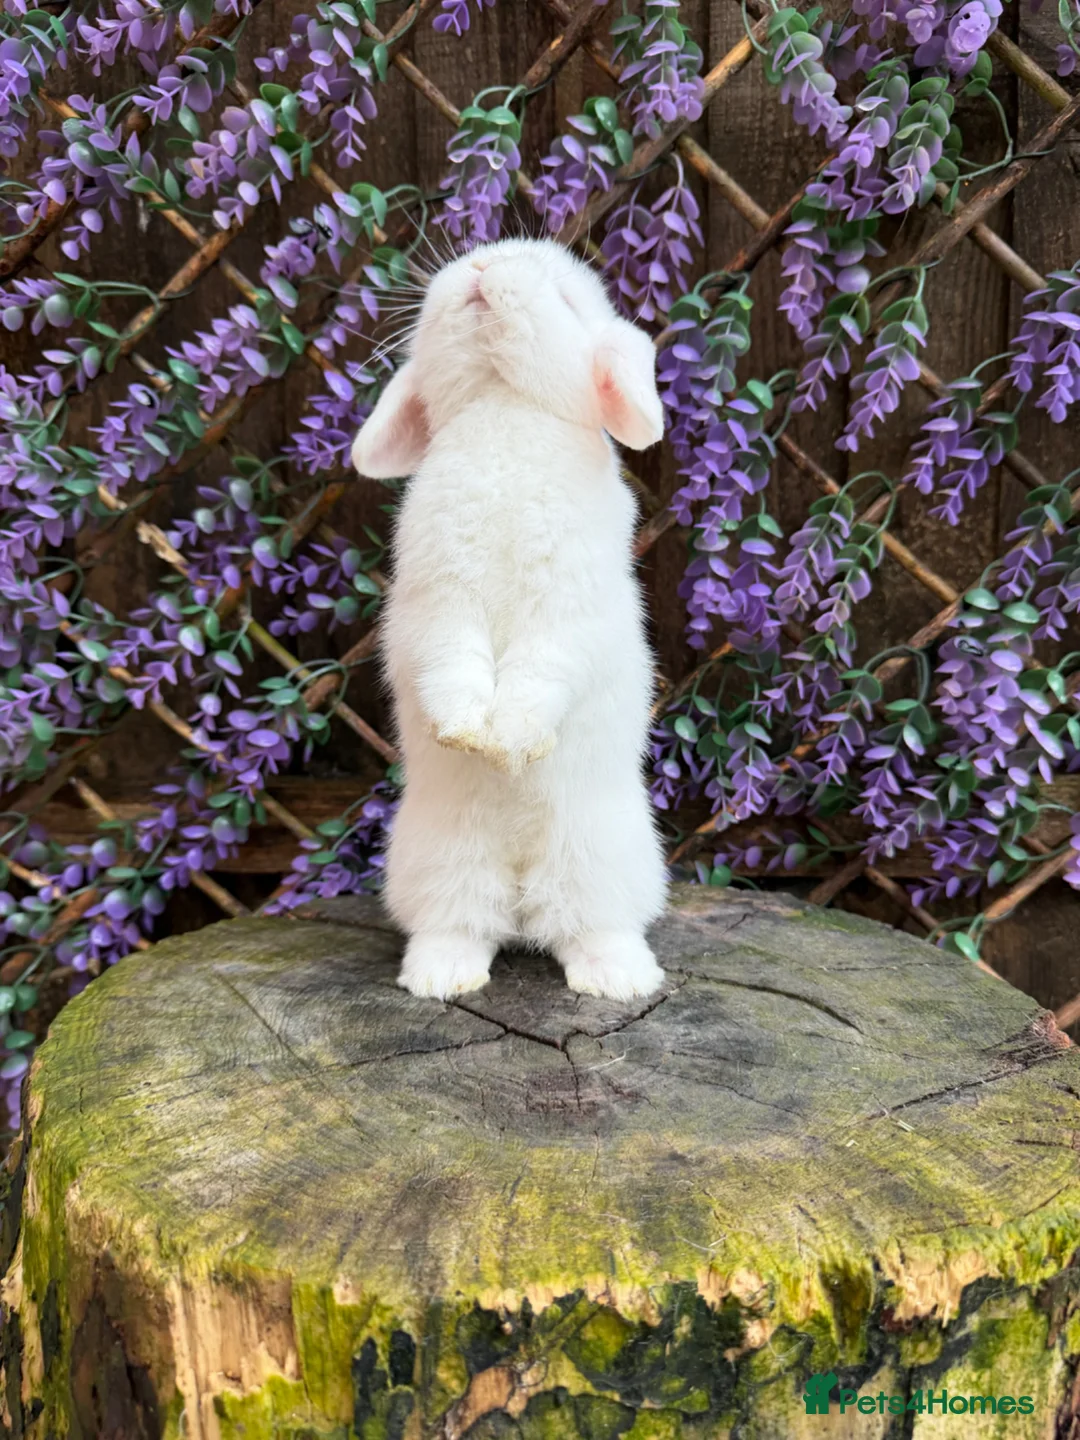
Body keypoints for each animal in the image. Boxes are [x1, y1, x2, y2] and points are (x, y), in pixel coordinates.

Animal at [352, 237, 668, 1003]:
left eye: (566, 297)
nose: (483, 266)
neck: (504, 408)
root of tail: (523, 881)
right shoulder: (440, 604)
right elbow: (454, 664)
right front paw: (468, 735)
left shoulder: (565, 611)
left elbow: (541, 670)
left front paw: (511, 743)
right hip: (439, 860)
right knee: (462, 923)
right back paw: (441, 978)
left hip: (603, 859)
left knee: (590, 927)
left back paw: (619, 980)